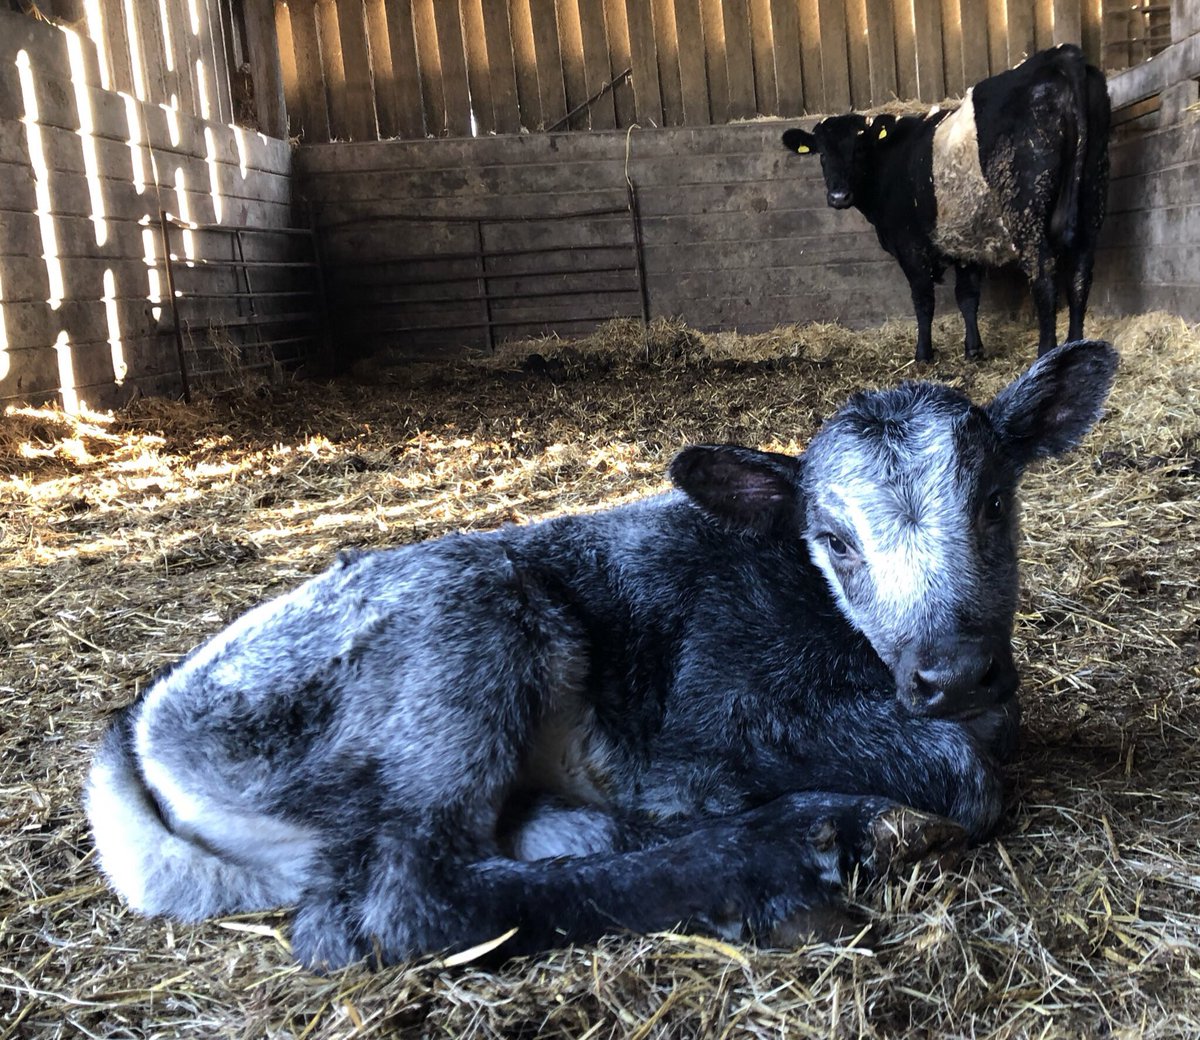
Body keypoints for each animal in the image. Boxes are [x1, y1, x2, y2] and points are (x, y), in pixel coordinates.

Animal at [85, 341, 1117, 971]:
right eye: (834, 541)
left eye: (995, 502)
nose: (953, 671)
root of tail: (138, 729)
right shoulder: (717, 718)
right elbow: (968, 774)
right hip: (464, 621)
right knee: (397, 903)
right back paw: (784, 852)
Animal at [782, 45, 1111, 363]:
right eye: (822, 154)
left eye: (860, 149)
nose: (839, 197)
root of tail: (1060, 54)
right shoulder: (966, 241)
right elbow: (967, 296)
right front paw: (973, 350)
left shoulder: (911, 247)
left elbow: (923, 300)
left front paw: (923, 355)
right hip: (1091, 197)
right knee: (1080, 274)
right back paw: (1079, 347)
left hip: (1026, 210)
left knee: (1043, 275)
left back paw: (1045, 354)